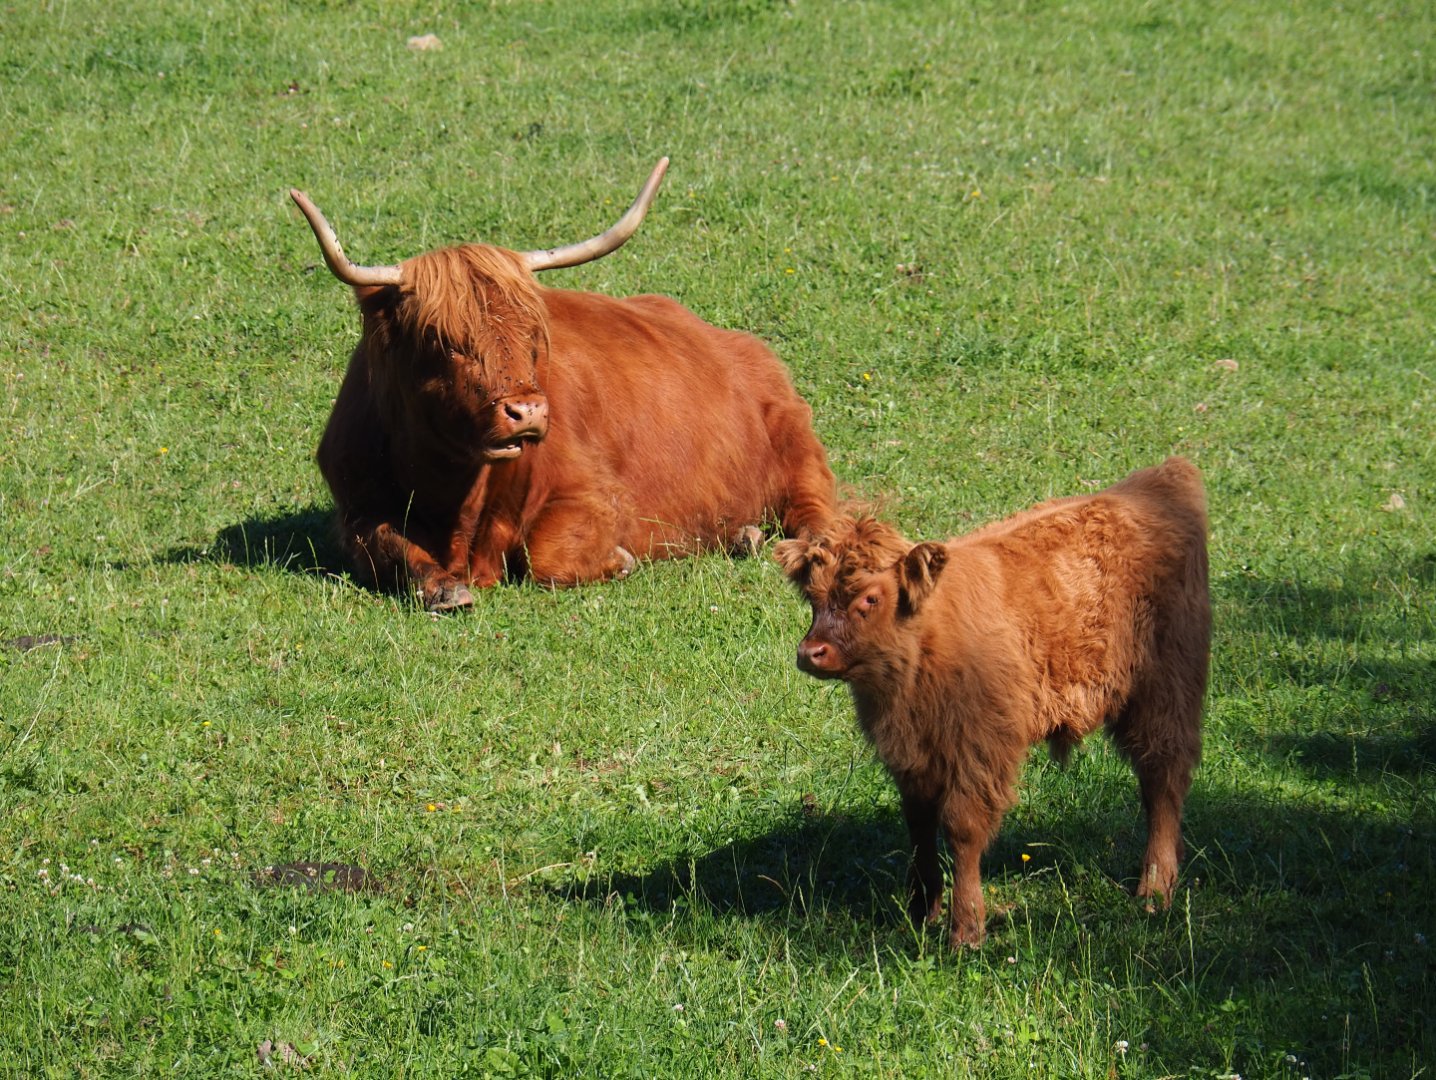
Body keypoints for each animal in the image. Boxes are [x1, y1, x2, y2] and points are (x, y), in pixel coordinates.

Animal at [289, 159, 836, 610]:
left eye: (533, 334)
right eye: (446, 341)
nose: (527, 412)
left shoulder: (594, 495)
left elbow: (545, 556)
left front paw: (621, 560)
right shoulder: (356, 510)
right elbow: (392, 547)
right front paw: (443, 588)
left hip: (797, 446)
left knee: (816, 511)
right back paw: (743, 535)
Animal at [774, 457, 1209, 948]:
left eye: (870, 597)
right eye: (812, 596)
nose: (811, 652)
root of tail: (1158, 479)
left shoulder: (978, 752)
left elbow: (962, 831)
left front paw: (965, 929)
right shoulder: (911, 759)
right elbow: (919, 827)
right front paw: (921, 912)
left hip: (1166, 690)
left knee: (1163, 780)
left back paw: (1154, 888)